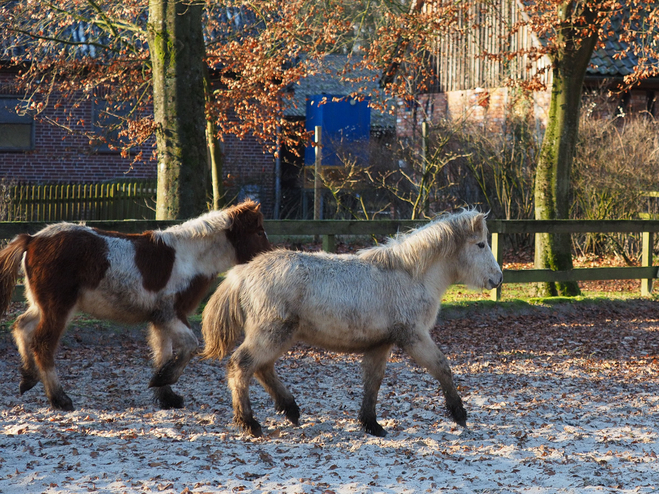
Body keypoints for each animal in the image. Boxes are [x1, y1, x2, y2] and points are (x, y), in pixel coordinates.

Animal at [0, 199, 270, 412]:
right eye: (258, 232)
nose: (269, 258)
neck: (188, 257)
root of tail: (32, 239)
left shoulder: (160, 319)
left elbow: (163, 353)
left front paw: (166, 395)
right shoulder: (172, 314)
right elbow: (190, 346)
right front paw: (162, 381)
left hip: (41, 306)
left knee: (21, 328)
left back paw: (28, 378)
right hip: (58, 307)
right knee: (43, 344)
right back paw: (59, 399)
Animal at [201, 208, 500, 436]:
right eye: (481, 244)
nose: (498, 279)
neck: (409, 274)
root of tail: (243, 273)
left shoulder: (380, 345)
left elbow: (373, 383)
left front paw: (371, 424)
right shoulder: (414, 337)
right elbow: (442, 367)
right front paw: (459, 414)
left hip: (279, 336)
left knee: (262, 369)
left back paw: (291, 410)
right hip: (271, 334)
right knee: (241, 366)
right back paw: (249, 423)